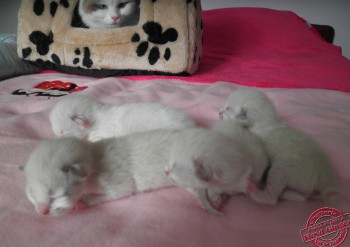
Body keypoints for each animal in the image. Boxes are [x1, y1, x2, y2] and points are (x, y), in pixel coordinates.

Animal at [21, 130, 182, 217]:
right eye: (32, 194)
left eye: (55, 195)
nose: (42, 212)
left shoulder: (119, 183)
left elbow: (111, 194)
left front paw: (78, 204)